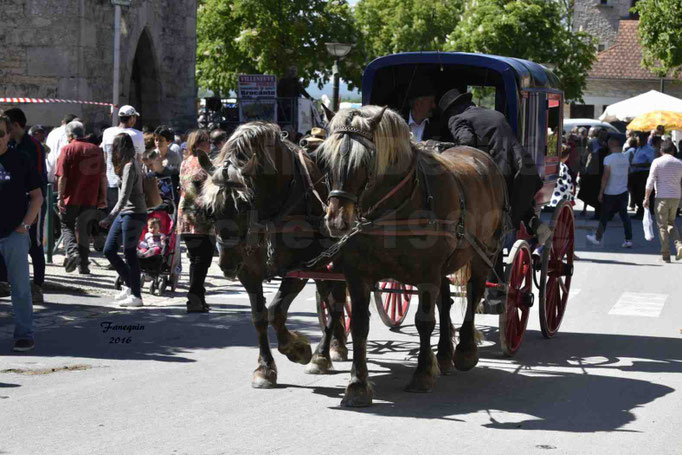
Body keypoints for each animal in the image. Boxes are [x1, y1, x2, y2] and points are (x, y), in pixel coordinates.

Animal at [199, 122, 348, 388]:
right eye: (209, 210)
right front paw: (264, 368)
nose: (227, 264)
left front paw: (297, 349)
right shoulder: (249, 272)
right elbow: (259, 317)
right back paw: (335, 345)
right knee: (329, 298)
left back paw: (322, 355)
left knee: (337, 302)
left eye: (244, 206)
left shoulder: (300, 268)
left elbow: (276, 312)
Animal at [318, 105, 504, 408]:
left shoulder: (427, 274)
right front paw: (357, 385)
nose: (337, 221)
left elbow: (424, 321)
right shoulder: (358, 275)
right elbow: (359, 325)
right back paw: (444, 355)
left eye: (366, 160)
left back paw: (464, 351)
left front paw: (423, 374)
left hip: (483, 252)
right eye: (323, 158)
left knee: (475, 292)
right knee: (445, 301)